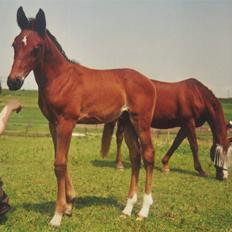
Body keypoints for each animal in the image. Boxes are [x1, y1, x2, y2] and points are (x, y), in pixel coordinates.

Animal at [7, 6, 157, 227]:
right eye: (15, 44)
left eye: (37, 47)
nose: (13, 82)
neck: (61, 79)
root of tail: (150, 82)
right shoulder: (53, 124)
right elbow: (61, 159)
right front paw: (69, 204)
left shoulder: (67, 122)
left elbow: (59, 164)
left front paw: (58, 214)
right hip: (127, 122)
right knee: (136, 157)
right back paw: (127, 208)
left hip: (142, 122)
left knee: (148, 155)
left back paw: (144, 211)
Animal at [101, 79, 232, 180]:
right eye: (218, 153)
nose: (224, 177)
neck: (198, 96)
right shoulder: (189, 122)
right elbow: (194, 146)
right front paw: (201, 170)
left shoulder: (184, 125)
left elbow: (176, 143)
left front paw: (165, 164)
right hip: (123, 119)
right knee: (119, 137)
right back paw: (119, 164)